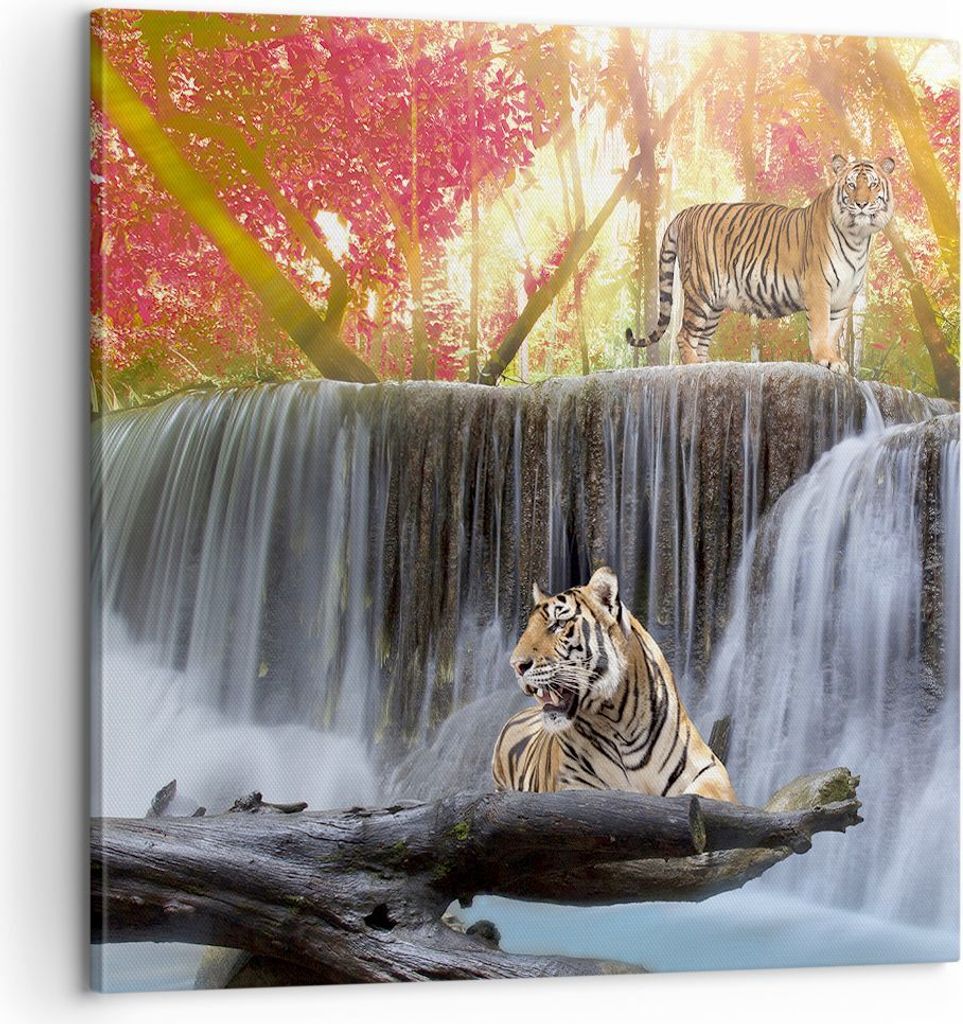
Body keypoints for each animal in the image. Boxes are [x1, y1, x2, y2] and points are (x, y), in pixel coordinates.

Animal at [491, 567, 737, 803]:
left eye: (559, 624)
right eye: (528, 628)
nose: (516, 665)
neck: (619, 722)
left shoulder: (710, 769)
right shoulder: (575, 786)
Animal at [625, 155, 895, 375]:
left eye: (873, 184)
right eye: (851, 184)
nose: (861, 204)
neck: (857, 237)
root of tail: (684, 213)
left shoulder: (845, 296)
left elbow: (832, 331)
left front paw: (833, 359)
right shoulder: (818, 287)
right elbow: (820, 329)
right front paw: (826, 360)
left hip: (714, 304)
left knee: (700, 341)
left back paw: (708, 368)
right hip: (701, 291)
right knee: (684, 336)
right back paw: (693, 370)